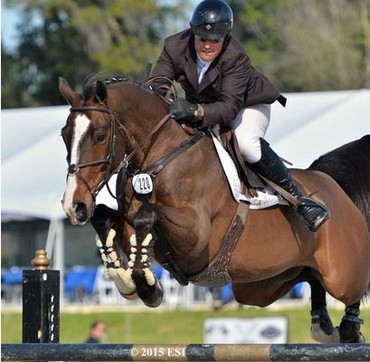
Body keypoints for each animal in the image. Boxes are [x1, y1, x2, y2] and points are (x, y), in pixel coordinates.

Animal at [59, 75, 368, 344]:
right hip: (262, 285)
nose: (74, 206)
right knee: (310, 278)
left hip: (341, 274)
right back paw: (324, 326)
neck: (160, 158)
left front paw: (148, 286)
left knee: (352, 289)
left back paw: (350, 328)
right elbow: (105, 219)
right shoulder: (128, 222)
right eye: (64, 135)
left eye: (100, 136)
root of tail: (333, 184)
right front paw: (124, 278)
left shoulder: (196, 237)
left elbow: (148, 215)